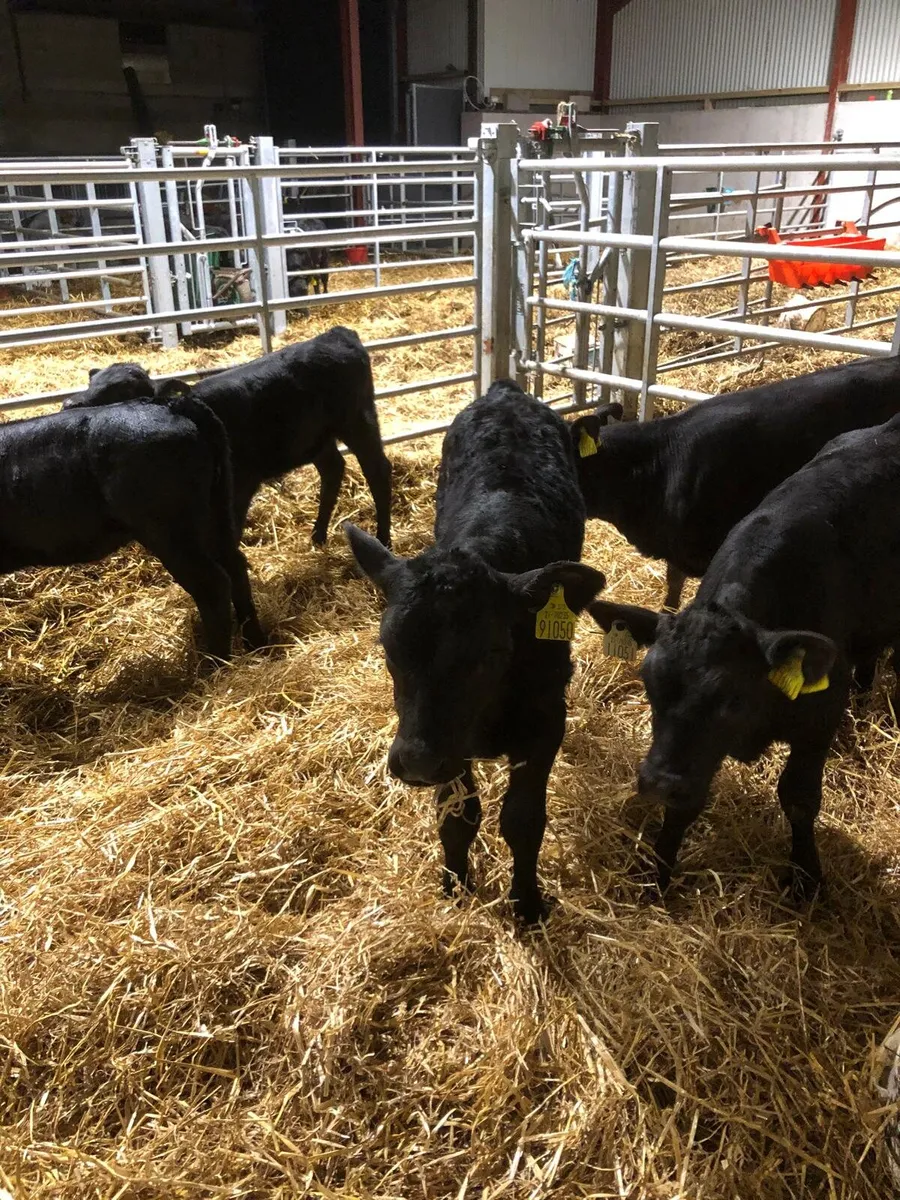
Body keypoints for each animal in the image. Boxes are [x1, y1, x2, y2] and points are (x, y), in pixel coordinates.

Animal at [0, 389, 265, 662]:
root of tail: (169, 404)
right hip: (214, 514)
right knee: (235, 565)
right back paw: (257, 644)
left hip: (169, 531)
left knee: (213, 584)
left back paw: (214, 665)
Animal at [64, 326, 392, 549]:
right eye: (92, 382)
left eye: (121, 391)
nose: (68, 403)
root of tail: (337, 334)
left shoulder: (239, 486)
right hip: (314, 439)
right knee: (333, 469)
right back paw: (318, 535)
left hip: (358, 421)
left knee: (378, 470)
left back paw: (383, 538)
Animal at [345, 379, 606, 923]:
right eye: (388, 650)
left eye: (488, 653)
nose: (417, 762)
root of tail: (505, 391)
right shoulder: (449, 743)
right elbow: (458, 815)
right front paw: (454, 887)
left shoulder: (546, 720)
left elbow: (523, 820)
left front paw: (526, 904)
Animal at [588, 413, 900, 900]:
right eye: (650, 687)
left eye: (732, 700)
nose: (657, 784)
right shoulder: (690, 756)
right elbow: (687, 802)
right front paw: (656, 878)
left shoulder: (819, 717)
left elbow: (799, 799)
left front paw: (806, 880)